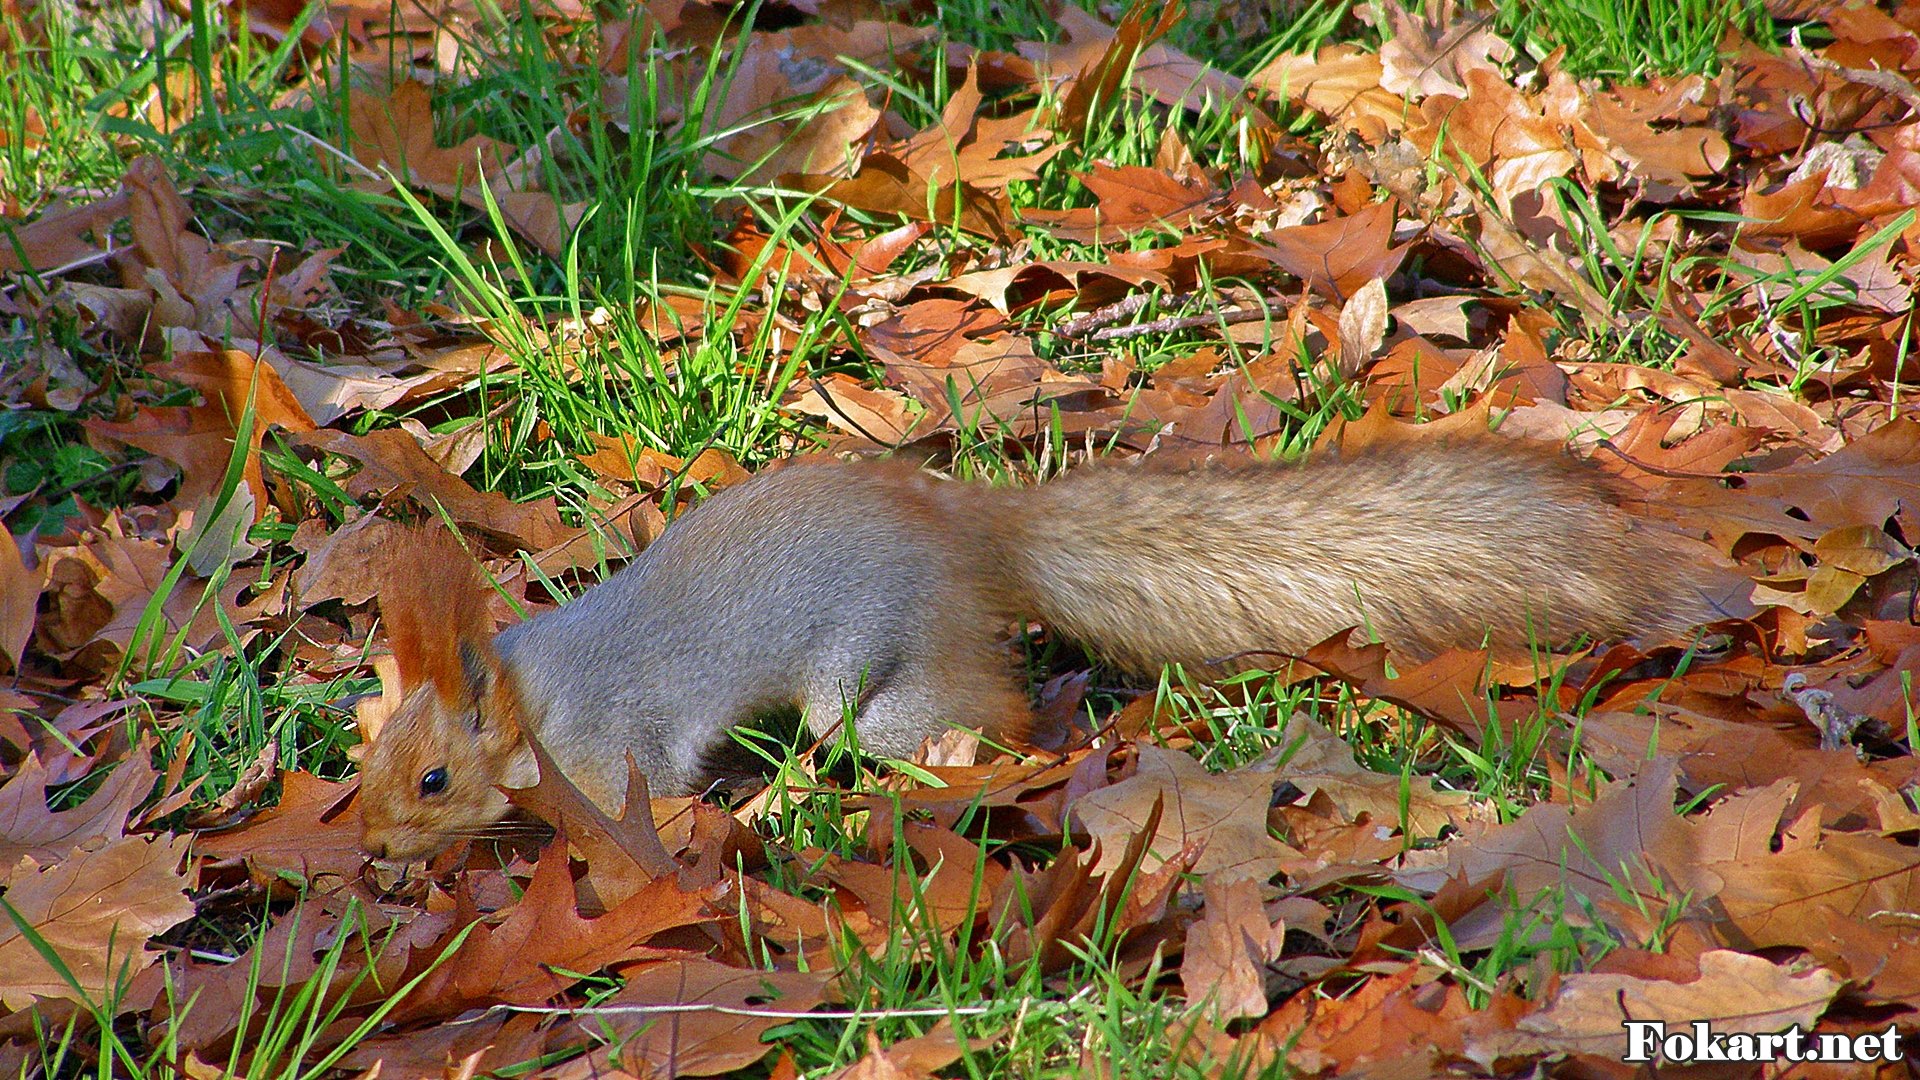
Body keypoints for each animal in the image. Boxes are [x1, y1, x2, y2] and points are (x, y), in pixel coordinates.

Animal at [357, 436, 1741, 861]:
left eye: (431, 777)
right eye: (370, 755)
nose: (366, 842)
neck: (533, 696)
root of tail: (967, 527)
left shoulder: (614, 751)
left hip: (870, 681)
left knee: (975, 712)